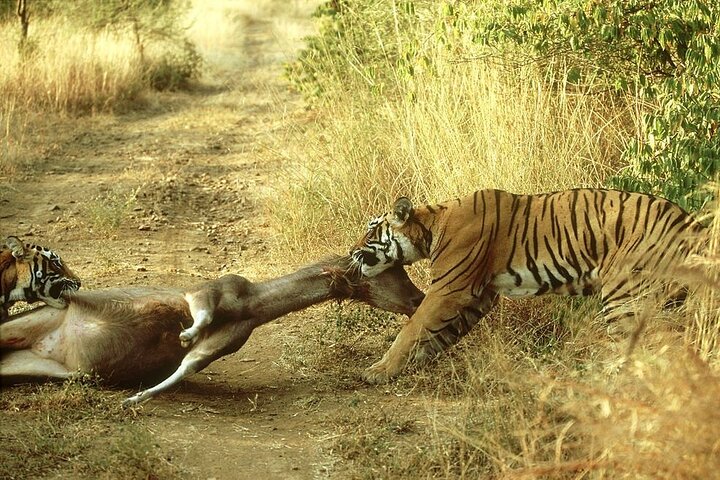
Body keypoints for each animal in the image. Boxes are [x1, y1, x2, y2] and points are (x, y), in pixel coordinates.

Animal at [349, 188, 706, 383]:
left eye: (370, 231)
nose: (350, 251)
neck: (431, 225)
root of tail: (690, 221)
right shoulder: (479, 296)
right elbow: (438, 333)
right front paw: (411, 364)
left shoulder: (449, 289)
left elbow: (412, 328)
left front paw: (379, 370)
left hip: (624, 294)